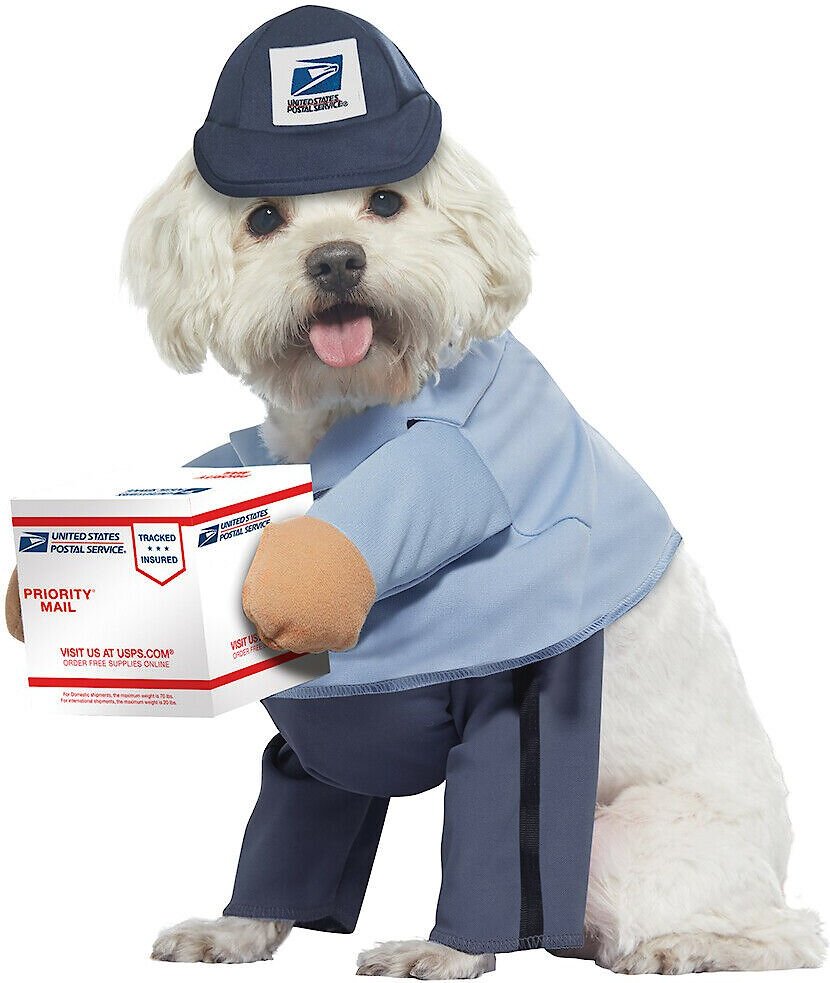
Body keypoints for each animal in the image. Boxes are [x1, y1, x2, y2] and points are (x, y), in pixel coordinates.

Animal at [117, 135, 824, 972]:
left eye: (387, 201)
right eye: (261, 218)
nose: (336, 260)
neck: (370, 430)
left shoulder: (523, 707)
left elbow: (494, 845)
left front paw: (446, 952)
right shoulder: (325, 729)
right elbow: (290, 825)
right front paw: (235, 930)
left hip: (620, 844)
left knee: (786, 929)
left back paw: (683, 946)